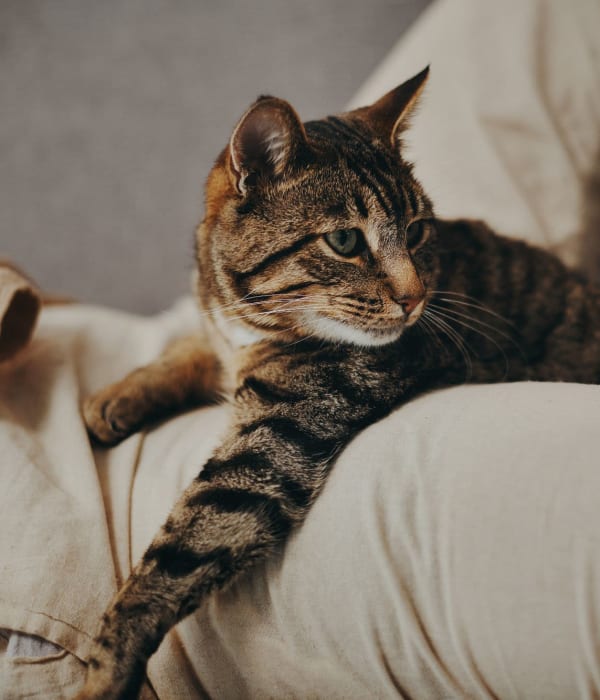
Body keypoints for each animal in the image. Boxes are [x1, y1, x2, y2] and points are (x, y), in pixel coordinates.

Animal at [75, 67, 600, 700]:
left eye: (417, 231)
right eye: (346, 242)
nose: (415, 297)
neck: (252, 322)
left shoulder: (277, 439)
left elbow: (180, 550)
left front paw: (106, 669)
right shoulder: (221, 339)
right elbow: (189, 348)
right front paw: (115, 397)